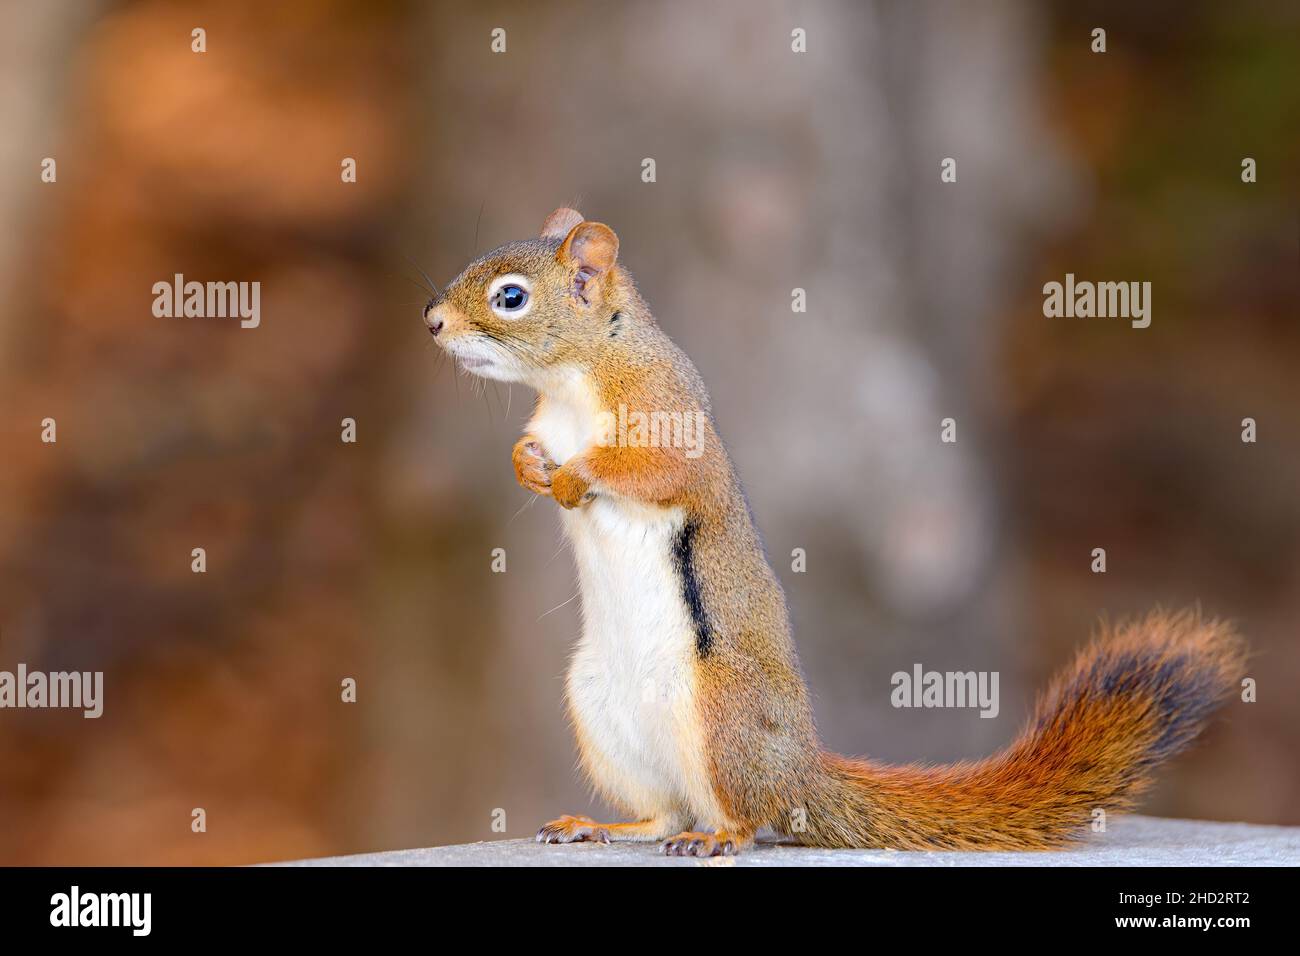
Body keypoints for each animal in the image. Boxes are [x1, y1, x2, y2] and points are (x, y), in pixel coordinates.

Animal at [421, 208, 1242, 858]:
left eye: (511, 297)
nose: (431, 320)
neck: (573, 377)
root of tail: (799, 775)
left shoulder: (666, 413)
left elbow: (654, 469)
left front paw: (571, 478)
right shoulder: (548, 421)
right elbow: (532, 451)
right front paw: (531, 468)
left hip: (722, 714)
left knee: (739, 817)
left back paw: (720, 837)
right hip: (601, 712)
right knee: (665, 813)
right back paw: (602, 826)